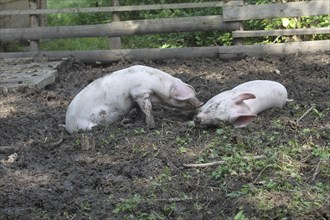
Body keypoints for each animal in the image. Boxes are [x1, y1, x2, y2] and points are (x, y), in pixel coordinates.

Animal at [65, 64, 202, 133]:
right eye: (186, 98)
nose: (201, 103)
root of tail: (67, 125)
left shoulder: (135, 98)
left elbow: (140, 110)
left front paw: (140, 121)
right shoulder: (140, 92)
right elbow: (148, 108)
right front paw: (152, 126)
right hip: (86, 125)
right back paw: (126, 125)